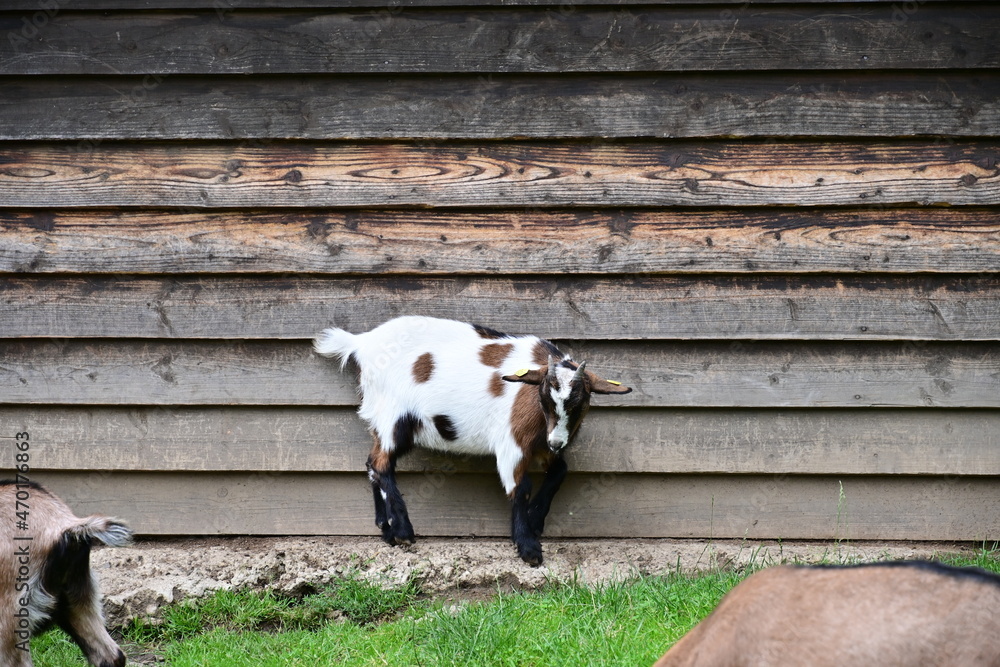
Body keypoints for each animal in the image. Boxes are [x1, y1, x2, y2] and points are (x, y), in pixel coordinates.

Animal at [314, 315, 631, 565]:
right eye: (544, 397)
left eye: (582, 403)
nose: (557, 443)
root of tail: (362, 343)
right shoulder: (512, 443)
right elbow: (521, 487)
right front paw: (528, 547)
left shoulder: (544, 446)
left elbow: (560, 471)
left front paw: (536, 519)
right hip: (393, 418)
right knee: (381, 464)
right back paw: (403, 531)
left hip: (382, 420)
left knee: (373, 463)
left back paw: (386, 528)